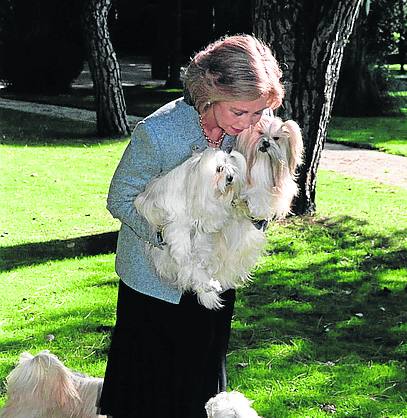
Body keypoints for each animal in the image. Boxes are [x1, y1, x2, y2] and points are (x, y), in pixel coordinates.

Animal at [135, 147, 247, 310]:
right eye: (219, 169)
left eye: (231, 167)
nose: (231, 178)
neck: (193, 182)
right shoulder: (177, 226)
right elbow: (185, 254)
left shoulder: (201, 230)